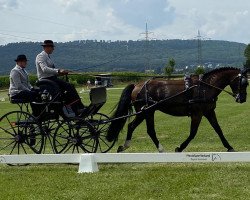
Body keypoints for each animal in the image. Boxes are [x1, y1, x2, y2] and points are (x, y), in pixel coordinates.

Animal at [105, 68, 248, 152]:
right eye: (244, 83)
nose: (243, 99)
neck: (205, 87)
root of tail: (137, 85)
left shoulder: (209, 112)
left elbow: (218, 129)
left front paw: (229, 147)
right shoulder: (197, 113)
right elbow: (193, 133)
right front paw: (180, 147)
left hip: (146, 112)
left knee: (135, 127)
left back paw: (124, 147)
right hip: (146, 111)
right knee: (145, 129)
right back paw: (159, 149)